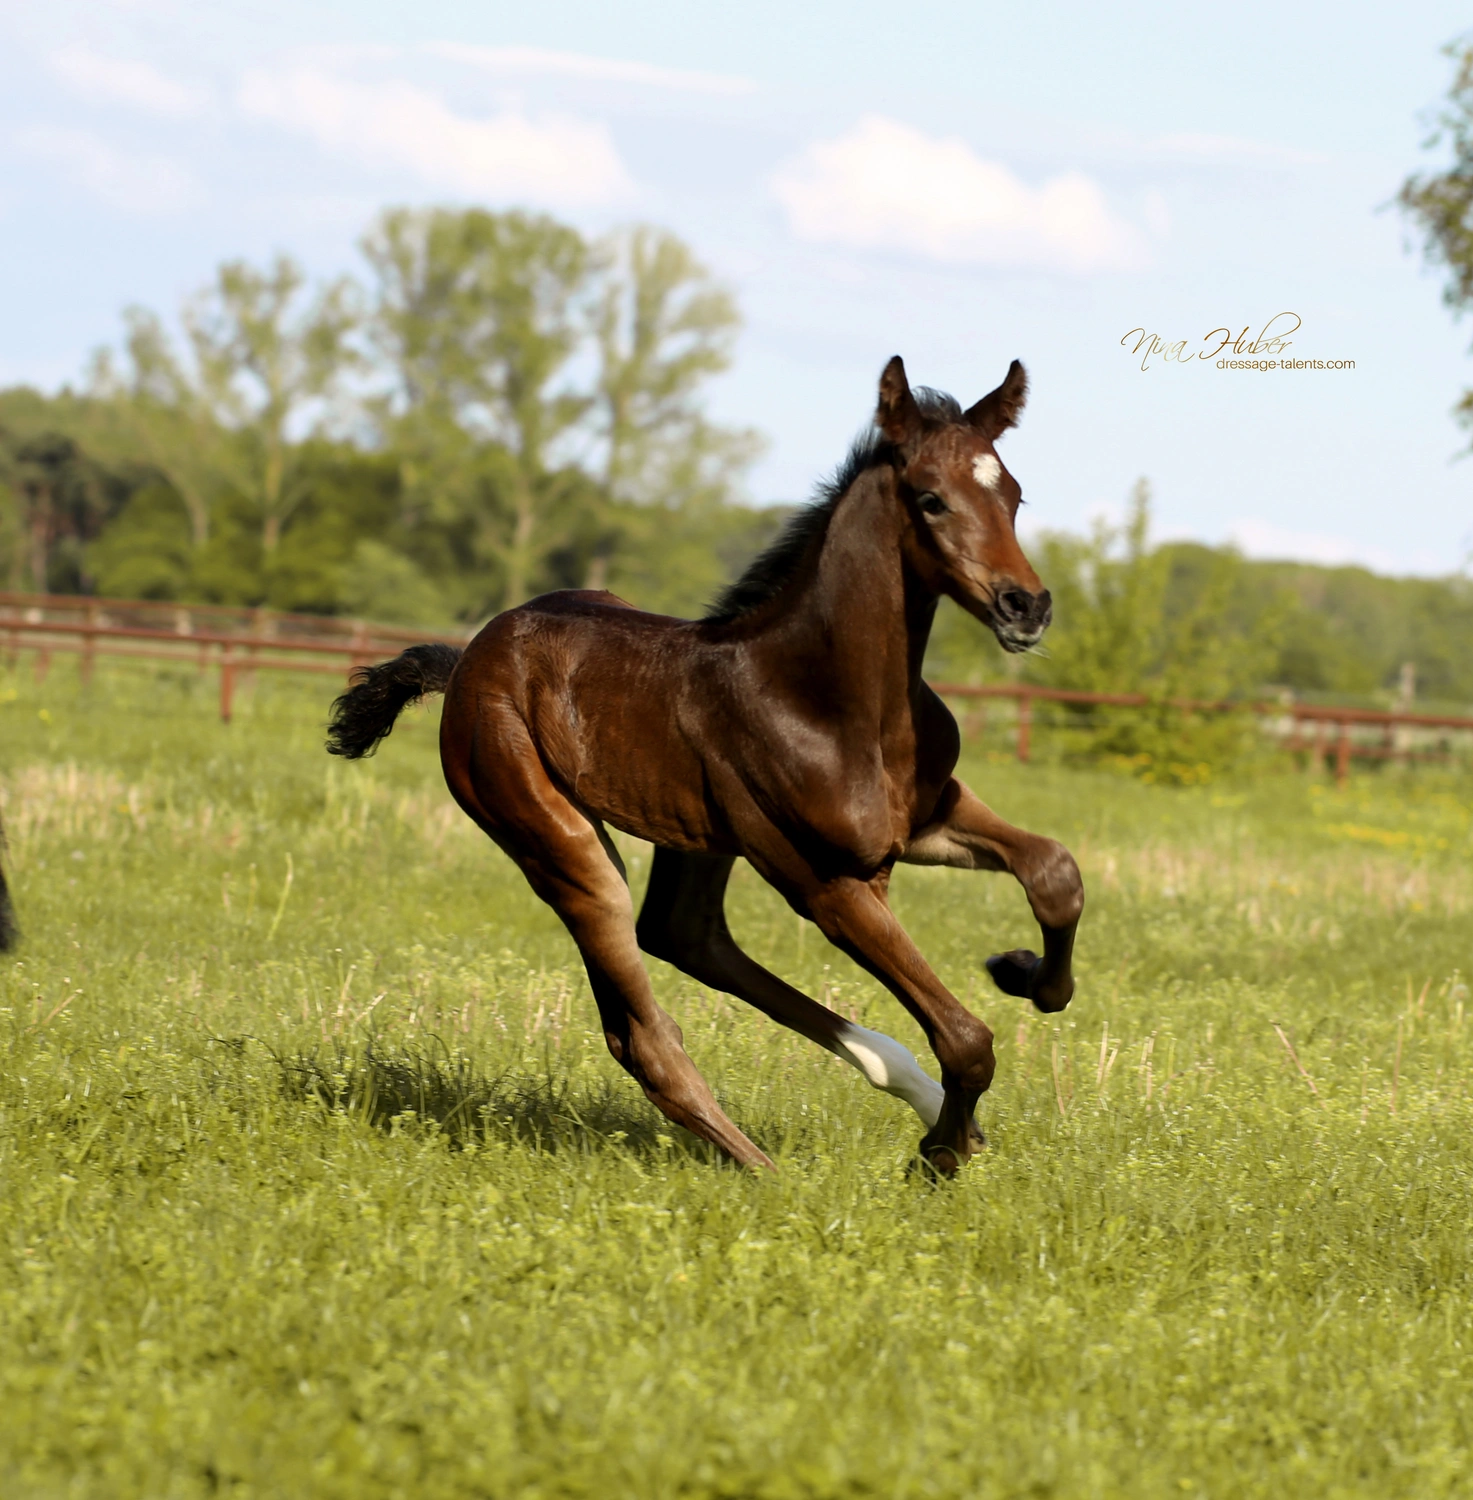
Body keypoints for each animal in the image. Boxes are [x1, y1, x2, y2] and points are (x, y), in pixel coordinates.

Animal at [327, 356, 1082, 1175]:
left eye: (1013, 494)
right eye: (931, 499)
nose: (1025, 605)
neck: (835, 699)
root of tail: (466, 658)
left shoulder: (925, 817)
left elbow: (1054, 872)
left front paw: (1028, 977)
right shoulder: (825, 883)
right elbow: (966, 1037)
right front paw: (939, 1154)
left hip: (698, 835)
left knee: (682, 932)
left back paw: (898, 1090)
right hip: (557, 841)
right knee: (641, 1024)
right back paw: (769, 1172)